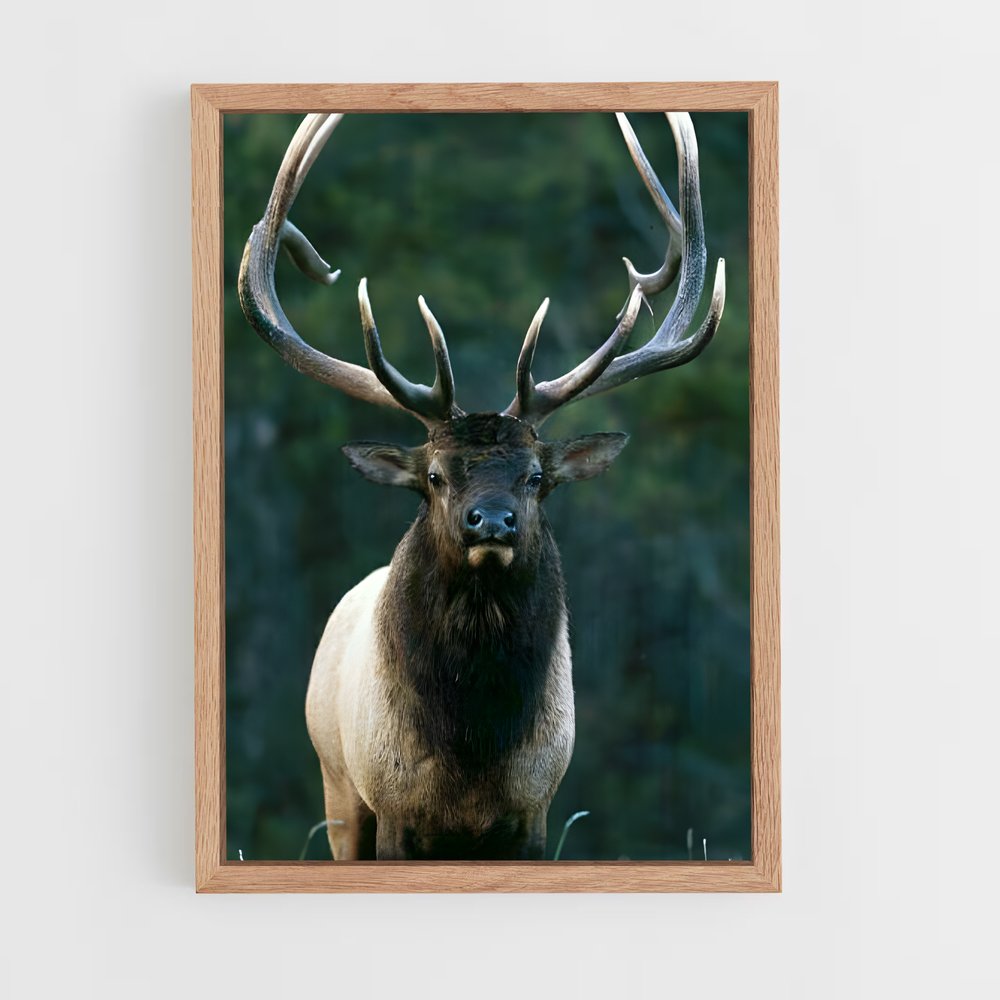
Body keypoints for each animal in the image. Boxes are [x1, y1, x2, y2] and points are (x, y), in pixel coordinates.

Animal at [238, 111, 726, 861]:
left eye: (536, 478)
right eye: (435, 476)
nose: (491, 522)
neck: (473, 753)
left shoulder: (535, 808)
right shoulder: (392, 807)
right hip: (338, 788)